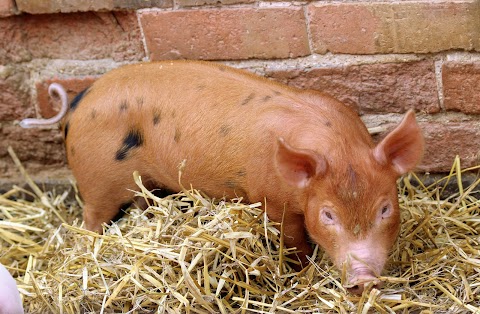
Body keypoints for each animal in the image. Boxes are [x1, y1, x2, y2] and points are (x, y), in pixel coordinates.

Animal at [20, 60, 422, 294]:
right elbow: (295, 244)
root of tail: (77, 103)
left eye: (385, 209)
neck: (337, 149)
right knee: (90, 223)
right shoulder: (271, 201)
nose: (364, 279)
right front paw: (300, 274)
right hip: (97, 182)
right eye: (328, 215)